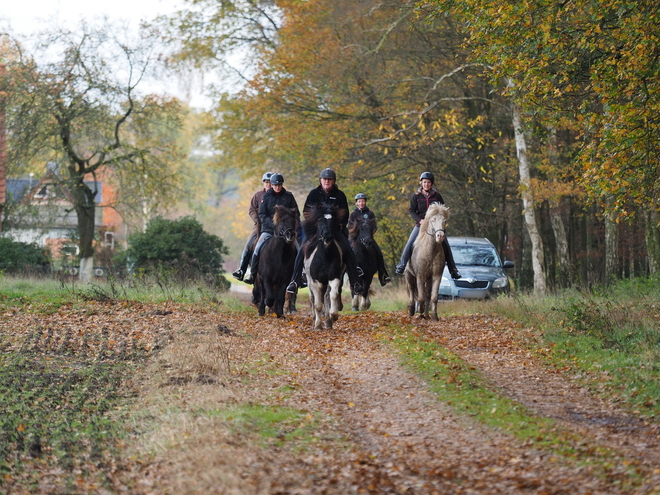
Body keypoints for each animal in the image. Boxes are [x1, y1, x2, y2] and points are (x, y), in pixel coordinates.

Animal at [302, 203, 348, 332]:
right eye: (319, 220)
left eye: (333, 221)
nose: (327, 236)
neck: (325, 256)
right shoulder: (315, 281)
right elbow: (317, 304)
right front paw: (318, 325)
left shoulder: (334, 277)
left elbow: (333, 295)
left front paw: (333, 316)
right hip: (310, 281)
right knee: (313, 298)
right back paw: (315, 319)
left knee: (327, 296)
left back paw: (328, 322)